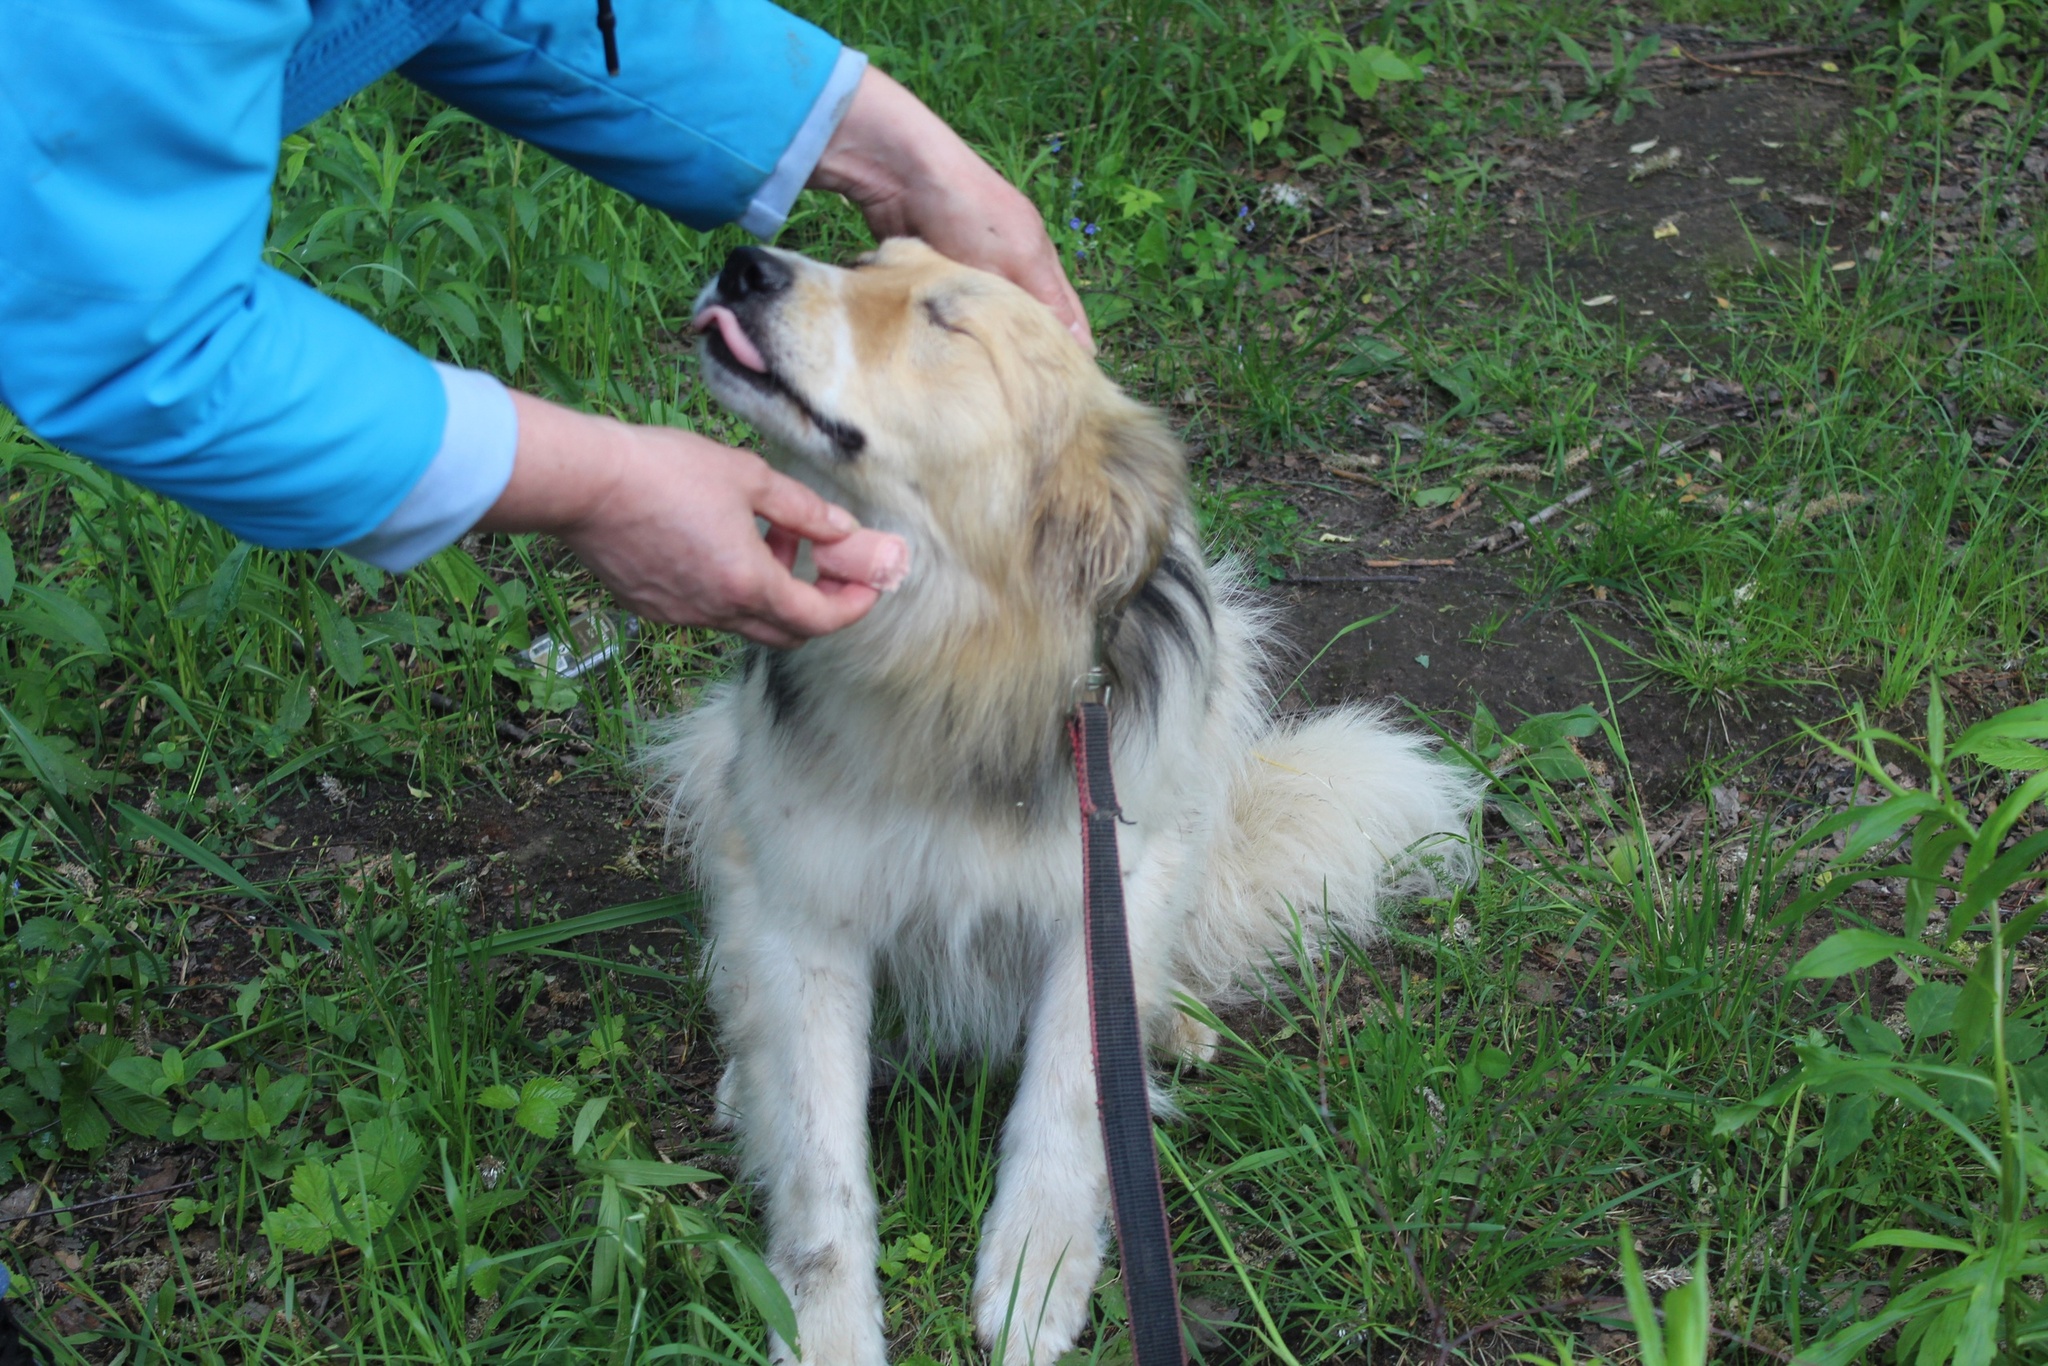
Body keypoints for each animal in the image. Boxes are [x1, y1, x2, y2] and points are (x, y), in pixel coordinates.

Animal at [647, 240, 1482, 1359]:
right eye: (866, 258)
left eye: (942, 320)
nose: (744, 264)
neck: (955, 655)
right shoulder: (807, 908)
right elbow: (823, 1170)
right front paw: (825, 1328)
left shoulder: (1107, 890)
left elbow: (1069, 1102)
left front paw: (1035, 1277)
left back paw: (1171, 1027)